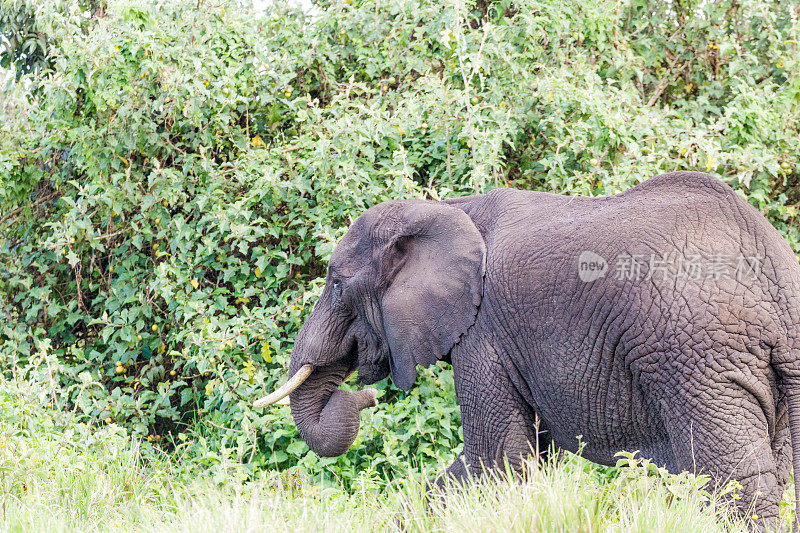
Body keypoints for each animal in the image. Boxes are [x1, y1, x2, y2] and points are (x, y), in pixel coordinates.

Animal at [256, 171, 800, 528]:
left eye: (336, 284)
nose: (364, 399)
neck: (450, 207)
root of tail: (775, 270)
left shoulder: (485, 334)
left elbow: (496, 458)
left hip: (695, 359)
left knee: (738, 480)